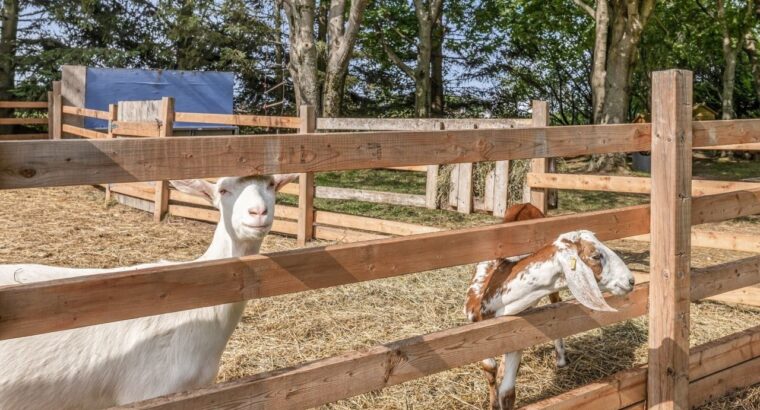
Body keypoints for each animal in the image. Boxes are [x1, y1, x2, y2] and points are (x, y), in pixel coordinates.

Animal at [464, 204, 635, 410]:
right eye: (595, 256)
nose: (630, 280)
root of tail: (526, 204)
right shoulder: (478, 330)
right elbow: (490, 368)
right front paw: (493, 402)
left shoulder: (517, 332)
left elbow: (508, 392)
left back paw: (560, 359)